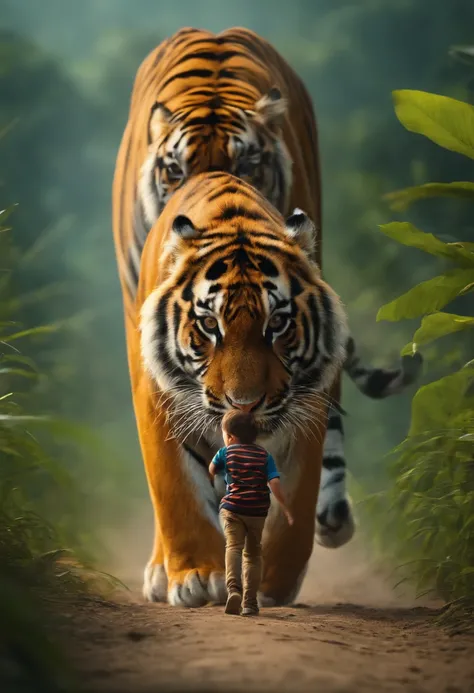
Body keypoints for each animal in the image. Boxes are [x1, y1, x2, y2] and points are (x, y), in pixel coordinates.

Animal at [126, 172, 348, 604]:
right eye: (210, 325)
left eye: (277, 323)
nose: (243, 404)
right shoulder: (158, 398)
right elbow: (177, 491)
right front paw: (197, 576)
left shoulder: (308, 408)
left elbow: (296, 505)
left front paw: (272, 585)